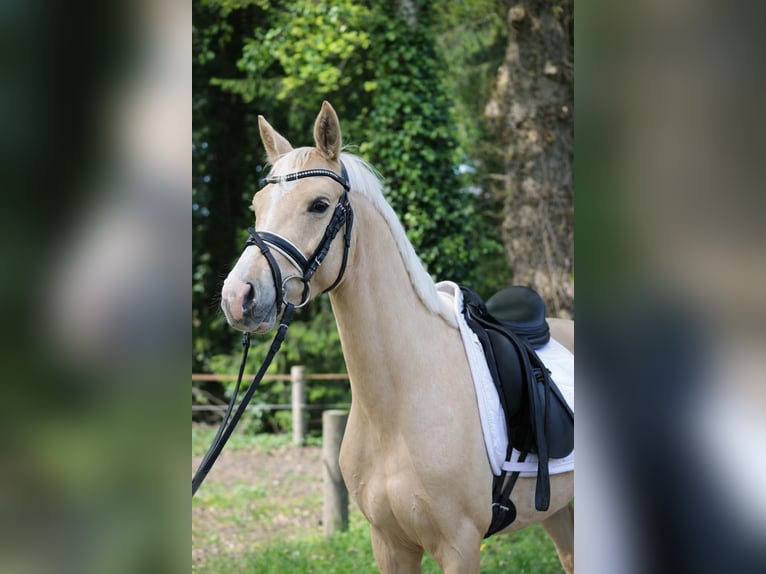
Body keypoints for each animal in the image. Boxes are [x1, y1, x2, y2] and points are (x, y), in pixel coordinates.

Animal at [220, 101, 575, 573]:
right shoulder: (389, 542)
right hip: (559, 514)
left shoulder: (460, 547)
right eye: (257, 205)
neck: (399, 404)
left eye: (319, 205)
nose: (238, 297)